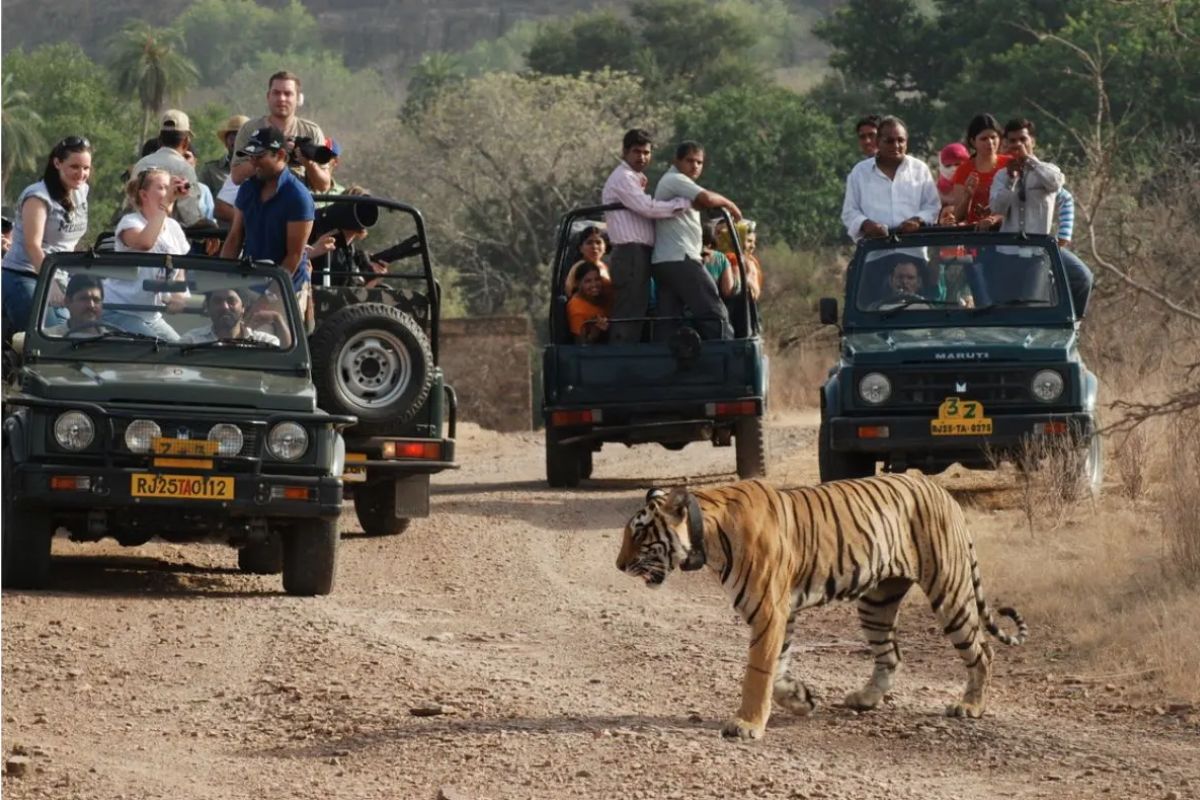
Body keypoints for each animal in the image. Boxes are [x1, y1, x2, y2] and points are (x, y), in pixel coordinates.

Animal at [614, 472, 1027, 743]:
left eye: (639, 533)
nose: (618, 566)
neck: (707, 538)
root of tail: (941, 489)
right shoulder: (781, 613)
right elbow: (777, 669)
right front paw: (800, 700)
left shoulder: (769, 610)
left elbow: (758, 672)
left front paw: (747, 724)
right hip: (876, 602)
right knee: (891, 654)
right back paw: (865, 699)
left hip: (949, 590)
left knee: (982, 651)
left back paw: (970, 706)